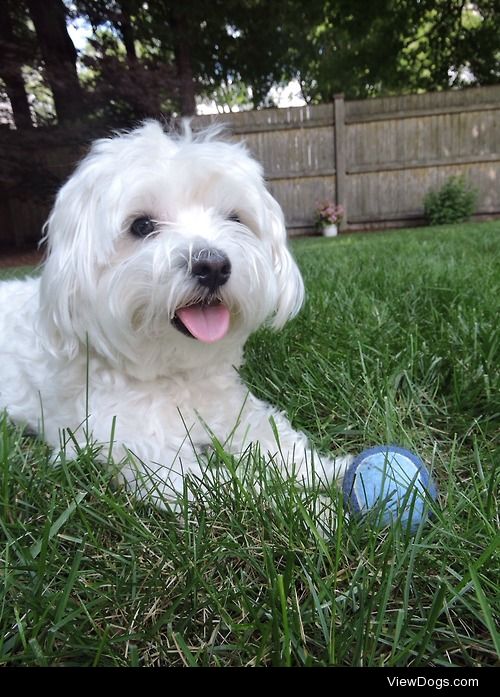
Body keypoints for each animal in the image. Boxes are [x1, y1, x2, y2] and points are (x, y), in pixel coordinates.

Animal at [0, 121, 352, 506]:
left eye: (235, 218)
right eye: (141, 226)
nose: (212, 266)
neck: (176, 374)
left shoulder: (236, 411)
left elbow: (279, 443)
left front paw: (335, 471)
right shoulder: (147, 455)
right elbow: (237, 490)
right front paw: (318, 509)